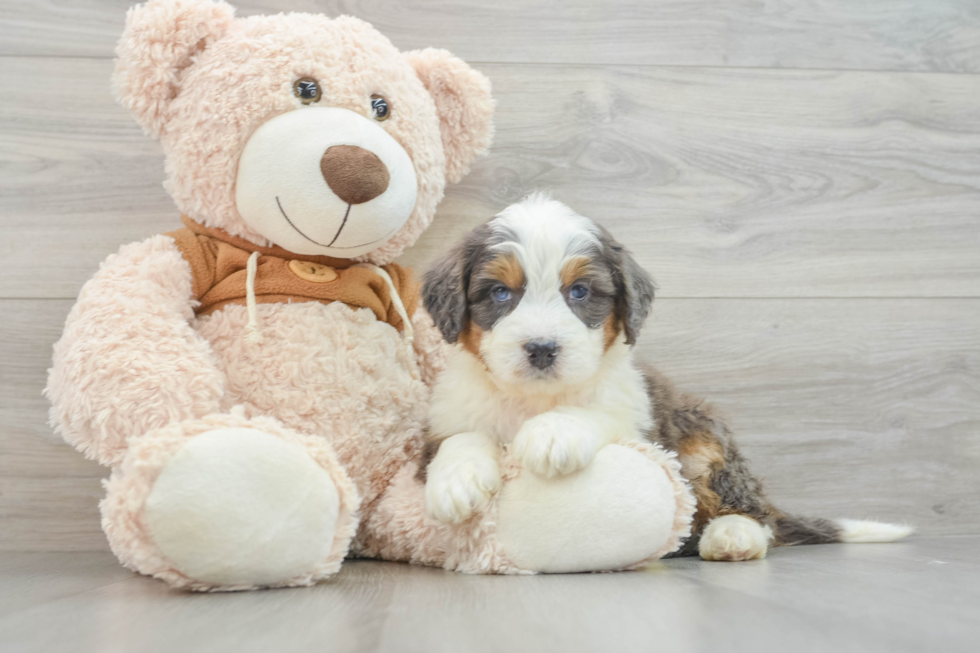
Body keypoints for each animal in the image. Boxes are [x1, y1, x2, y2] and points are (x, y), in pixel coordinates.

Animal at [420, 194, 912, 560]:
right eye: (500, 293)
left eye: (580, 291)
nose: (542, 348)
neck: (534, 399)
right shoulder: (445, 418)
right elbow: (461, 436)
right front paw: (456, 480)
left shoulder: (640, 420)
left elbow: (593, 412)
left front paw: (553, 433)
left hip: (704, 436)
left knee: (756, 513)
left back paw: (733, 536)